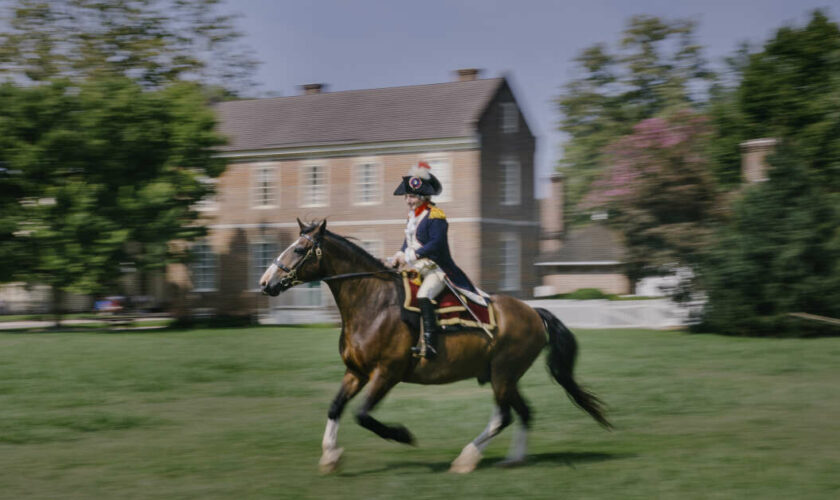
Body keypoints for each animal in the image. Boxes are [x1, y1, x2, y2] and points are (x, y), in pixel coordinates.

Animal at [258, 220, 612, 472]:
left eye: (299, 250)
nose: (265, 283)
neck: (373, 303)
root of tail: (534, 312)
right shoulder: (356, 372)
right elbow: (335, 408)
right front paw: (330, 456)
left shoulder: (387, 373)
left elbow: (363, 415)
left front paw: (402, 435)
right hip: (504, 377)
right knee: (521, 413)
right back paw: (512, 459)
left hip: (503, 374)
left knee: (504, 416)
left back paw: (467, 458)